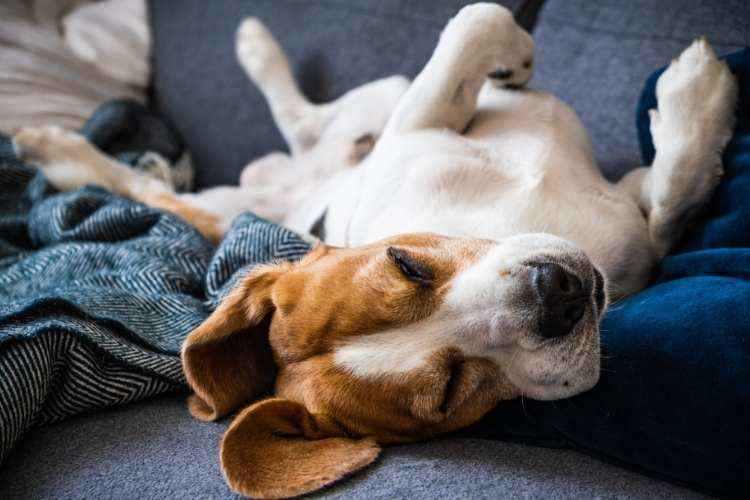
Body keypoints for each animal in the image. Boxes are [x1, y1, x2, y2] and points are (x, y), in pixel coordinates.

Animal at [11, 2, 740, 496]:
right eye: (449, 393)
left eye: (405, 263)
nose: (556, 295)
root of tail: (288, 188)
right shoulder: (636, 247)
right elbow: (669, 205)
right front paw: (700, 103)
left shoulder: (423, 124)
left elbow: (475, 23)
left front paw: (682, 101)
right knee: (162, 189)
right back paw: (59, 151)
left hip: (378, 101)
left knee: (302, 122)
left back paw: (248, 51)